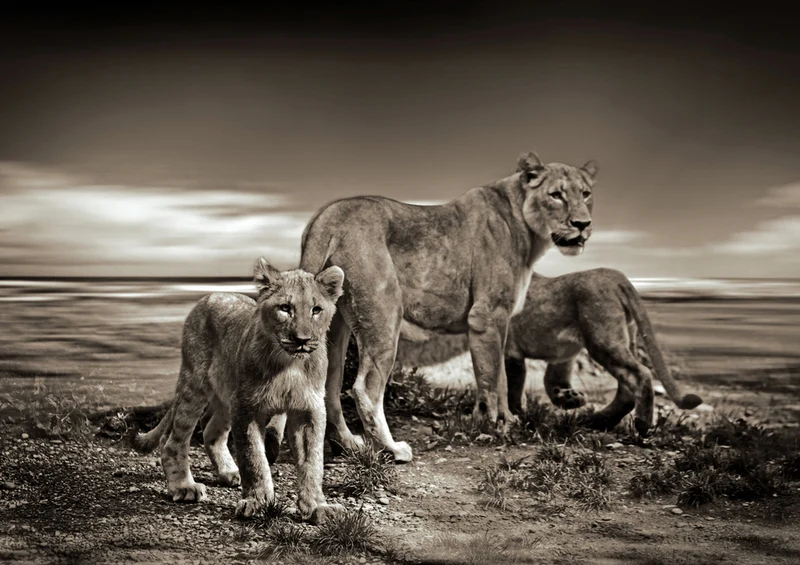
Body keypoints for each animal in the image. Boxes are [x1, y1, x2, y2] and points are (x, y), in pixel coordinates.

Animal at [131, 258, 346, 524]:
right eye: (285, 308)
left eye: (316, 310)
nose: (302, 339)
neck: (289, 364)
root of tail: (211, 294)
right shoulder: (247, 408)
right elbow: (254, 458)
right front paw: (258, 501)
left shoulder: (309, 409)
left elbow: (312, 462)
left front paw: (318, 506)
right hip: (195, 384)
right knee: (173, 440)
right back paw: (184, 487)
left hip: (227, 396)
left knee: (211, 432)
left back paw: (229, 472)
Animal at [265, 151, 599, 463]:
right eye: (556, 195)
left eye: (585, 193)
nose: (582, 224)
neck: (525, 226)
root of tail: (325, 218)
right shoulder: (487, 315)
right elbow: (493, 378)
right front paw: (496, 425)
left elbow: (500, 376)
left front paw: (503, 419)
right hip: (385, 313)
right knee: (366, 388)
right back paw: (391, 449)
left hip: (335, 326)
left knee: (329, 387)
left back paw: (349, 444)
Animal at [396, 268, 703, 436]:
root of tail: (615, 276)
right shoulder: (561, 354)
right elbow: (542, 380)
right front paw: (566, 399)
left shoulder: (512, 351)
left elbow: (510, 383)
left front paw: (515, 412)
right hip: (616, 339)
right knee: (626, 386)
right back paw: (596, 420)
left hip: (603, 339)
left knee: (640, 375)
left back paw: (640, 424)